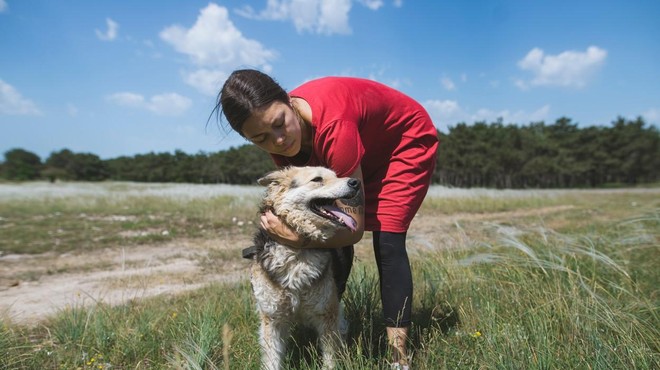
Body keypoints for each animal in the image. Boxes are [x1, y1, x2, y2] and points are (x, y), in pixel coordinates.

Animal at [244, 167, 360, 370]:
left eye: (336, 176)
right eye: (317, 179)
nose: (355, 182)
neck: (296, 253)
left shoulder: (327, 313)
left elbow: (330, 357)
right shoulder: (272, 318)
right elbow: (272, 358)